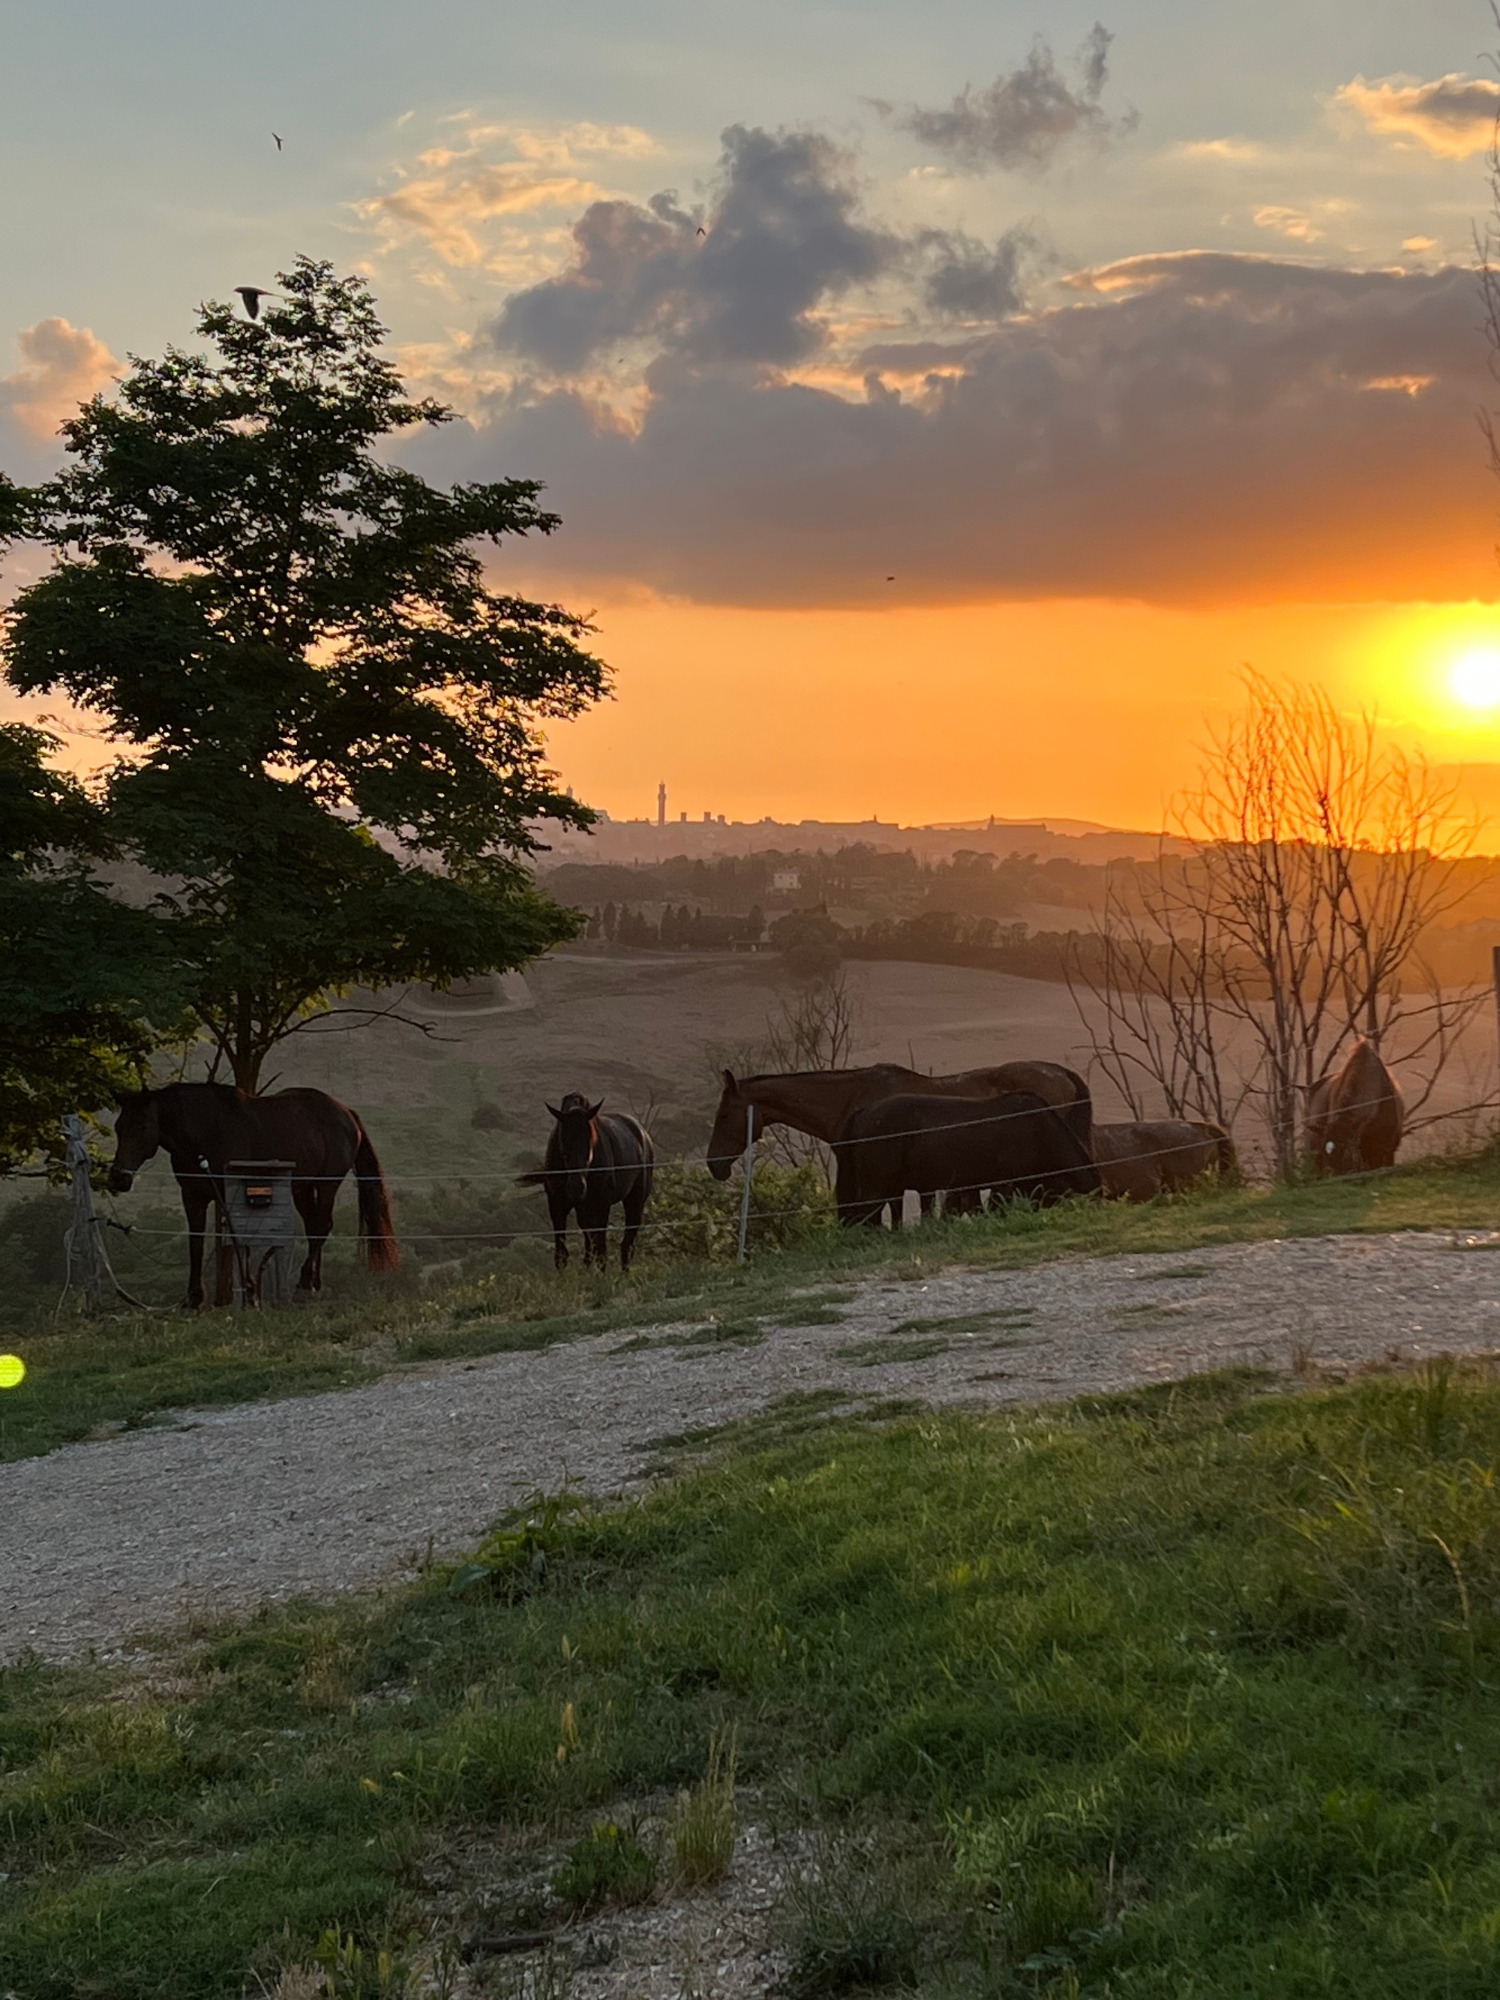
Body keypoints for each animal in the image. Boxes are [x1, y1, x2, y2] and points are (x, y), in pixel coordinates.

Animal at [108, 1082, 398, 1308]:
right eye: (118, 1127)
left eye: (143, 1126)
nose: (118, 1178)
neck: (206, 1132)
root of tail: (347, 1113)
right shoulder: (193, 1197)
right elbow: (196, 1243)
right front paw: (194, 1298)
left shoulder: (231, 1193)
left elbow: (241, 1238)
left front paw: (250, 1290)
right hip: (303, 1187)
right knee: (314, 1227)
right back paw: (313, 1285)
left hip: (327, 1183)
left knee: (322, 1227)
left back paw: (303, 1284)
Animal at [519, 1093, 654, 1271]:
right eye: (564, 1147)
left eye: (589, 1145)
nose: (577, 1188)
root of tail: (643, 1134)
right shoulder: (557, 1205)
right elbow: (562, 1255)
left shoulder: (602, 1205)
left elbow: (601, 1251)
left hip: (635, 1201)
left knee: (626, 1243)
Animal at [836, 1090, 1102, 1227]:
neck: (1039, 1128)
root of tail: (863, 1112)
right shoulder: (1003, 1184)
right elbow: (994, 1210)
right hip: (876, 1186)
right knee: (866, 1214)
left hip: (892, 1188)